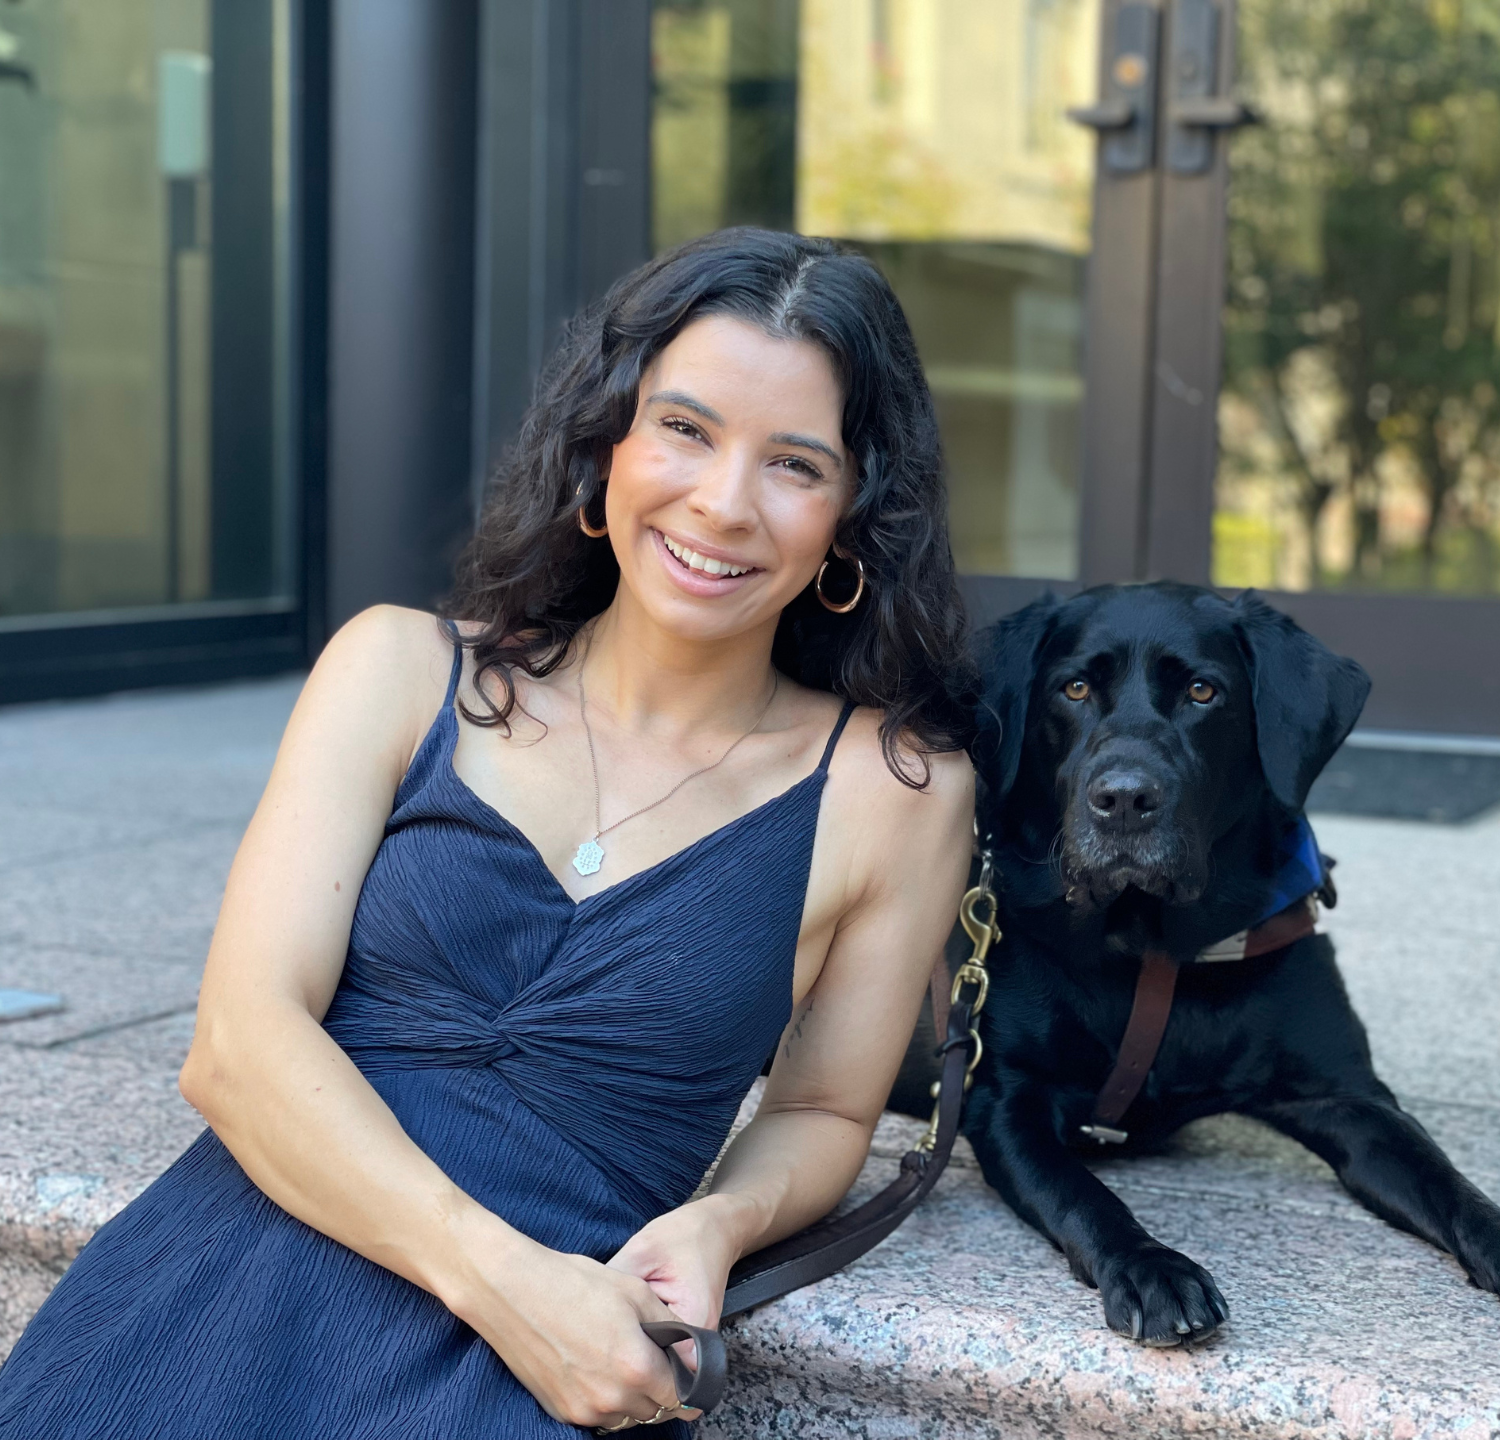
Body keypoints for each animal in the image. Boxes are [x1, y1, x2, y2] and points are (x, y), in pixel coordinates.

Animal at [954, 579, 1500, 1344]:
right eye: (1075, 687)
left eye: (1203, 691)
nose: (1124, 799)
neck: (1155, 944)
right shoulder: (1006, 1104)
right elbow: (1083, 1193)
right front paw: (1151, 1265)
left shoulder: (1348, 1096)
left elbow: (1442, 1175)